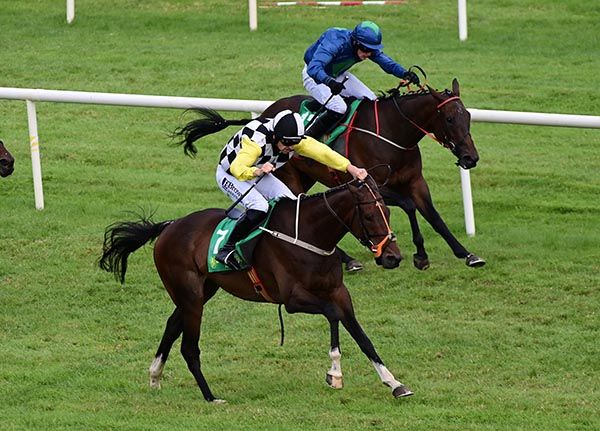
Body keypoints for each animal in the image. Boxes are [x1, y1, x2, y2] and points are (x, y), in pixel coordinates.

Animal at [99, 177, 413, 403]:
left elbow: (363, 338)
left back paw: (155, 376)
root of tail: (169, 226)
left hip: (201, 291)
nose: (393, 257)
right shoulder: (293, 299)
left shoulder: (338, 292)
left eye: (387, 211)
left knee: (172, 324)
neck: (310, 235)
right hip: (190, 295)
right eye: (369, 216)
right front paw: (334, 373)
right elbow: (332, 315)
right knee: (189, 346)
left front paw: (394, 383)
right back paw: (210, 397)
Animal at [261, 79, 485, 271]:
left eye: (468, 116)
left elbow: (434, 216)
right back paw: (346, 259)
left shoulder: (416, 181)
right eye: (449, 119)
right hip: (289, 177)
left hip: (306, 176)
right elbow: (408, 205)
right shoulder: (372, 185)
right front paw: (421, 255)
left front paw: (466, 254)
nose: (471, 158)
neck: (391, 133)